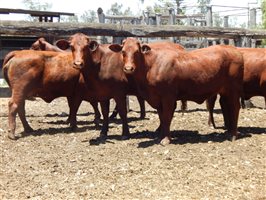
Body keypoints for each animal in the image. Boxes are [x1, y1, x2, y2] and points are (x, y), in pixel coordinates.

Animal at [109, 37, 244, 145]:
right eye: (123, 52)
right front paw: (161, 135)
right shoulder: (158, 99)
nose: (128, 68)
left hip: (233, 90)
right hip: (225, 91)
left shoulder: (168, 96)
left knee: (235, 107)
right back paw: (229, 132)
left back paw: (233, 135)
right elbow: (162, 117)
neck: (151, 65)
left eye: (137, 52)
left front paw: (166, 139)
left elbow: (167, 116)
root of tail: (236, 51)